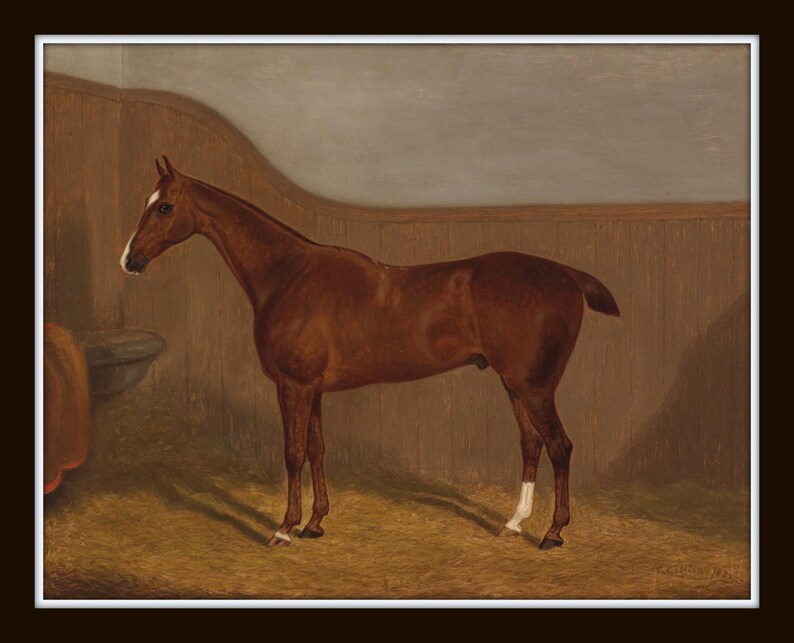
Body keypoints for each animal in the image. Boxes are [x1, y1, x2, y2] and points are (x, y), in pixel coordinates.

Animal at [121, 157, 619, 550]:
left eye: (164, 206)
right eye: (149, 202)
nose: (129, 259)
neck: (287, 274)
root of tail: (565, 274)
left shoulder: (292, 386)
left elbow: (291, 453)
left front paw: (283, 529)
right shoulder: (313, 389)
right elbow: (317, 449)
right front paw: (315, 524)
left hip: (535, 387)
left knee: (560, 446)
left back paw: (553, 533)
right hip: (514, 384)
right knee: (531, 444)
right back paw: (513, 524)